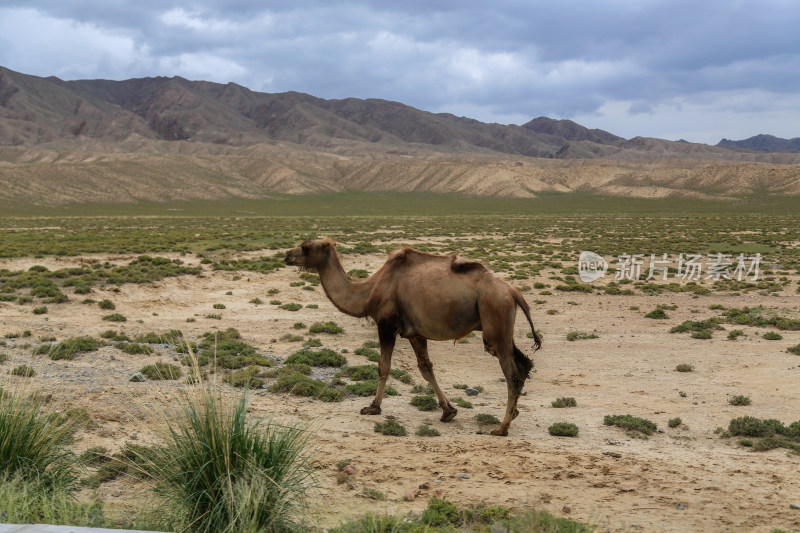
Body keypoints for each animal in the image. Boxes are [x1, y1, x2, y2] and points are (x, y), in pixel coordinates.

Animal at [284, 239, 540, 434]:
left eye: (306, 247)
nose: (286, 255)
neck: (368, 292)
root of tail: (513, 291)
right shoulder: (416, 333)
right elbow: (426, 368)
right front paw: (448, 410)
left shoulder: (386, 326)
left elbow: (383, 366)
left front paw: (373, 407)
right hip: (503, 327)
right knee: (524, 364)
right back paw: (513, 415)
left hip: (494, 317)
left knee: (512, 373)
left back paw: (501, 428)